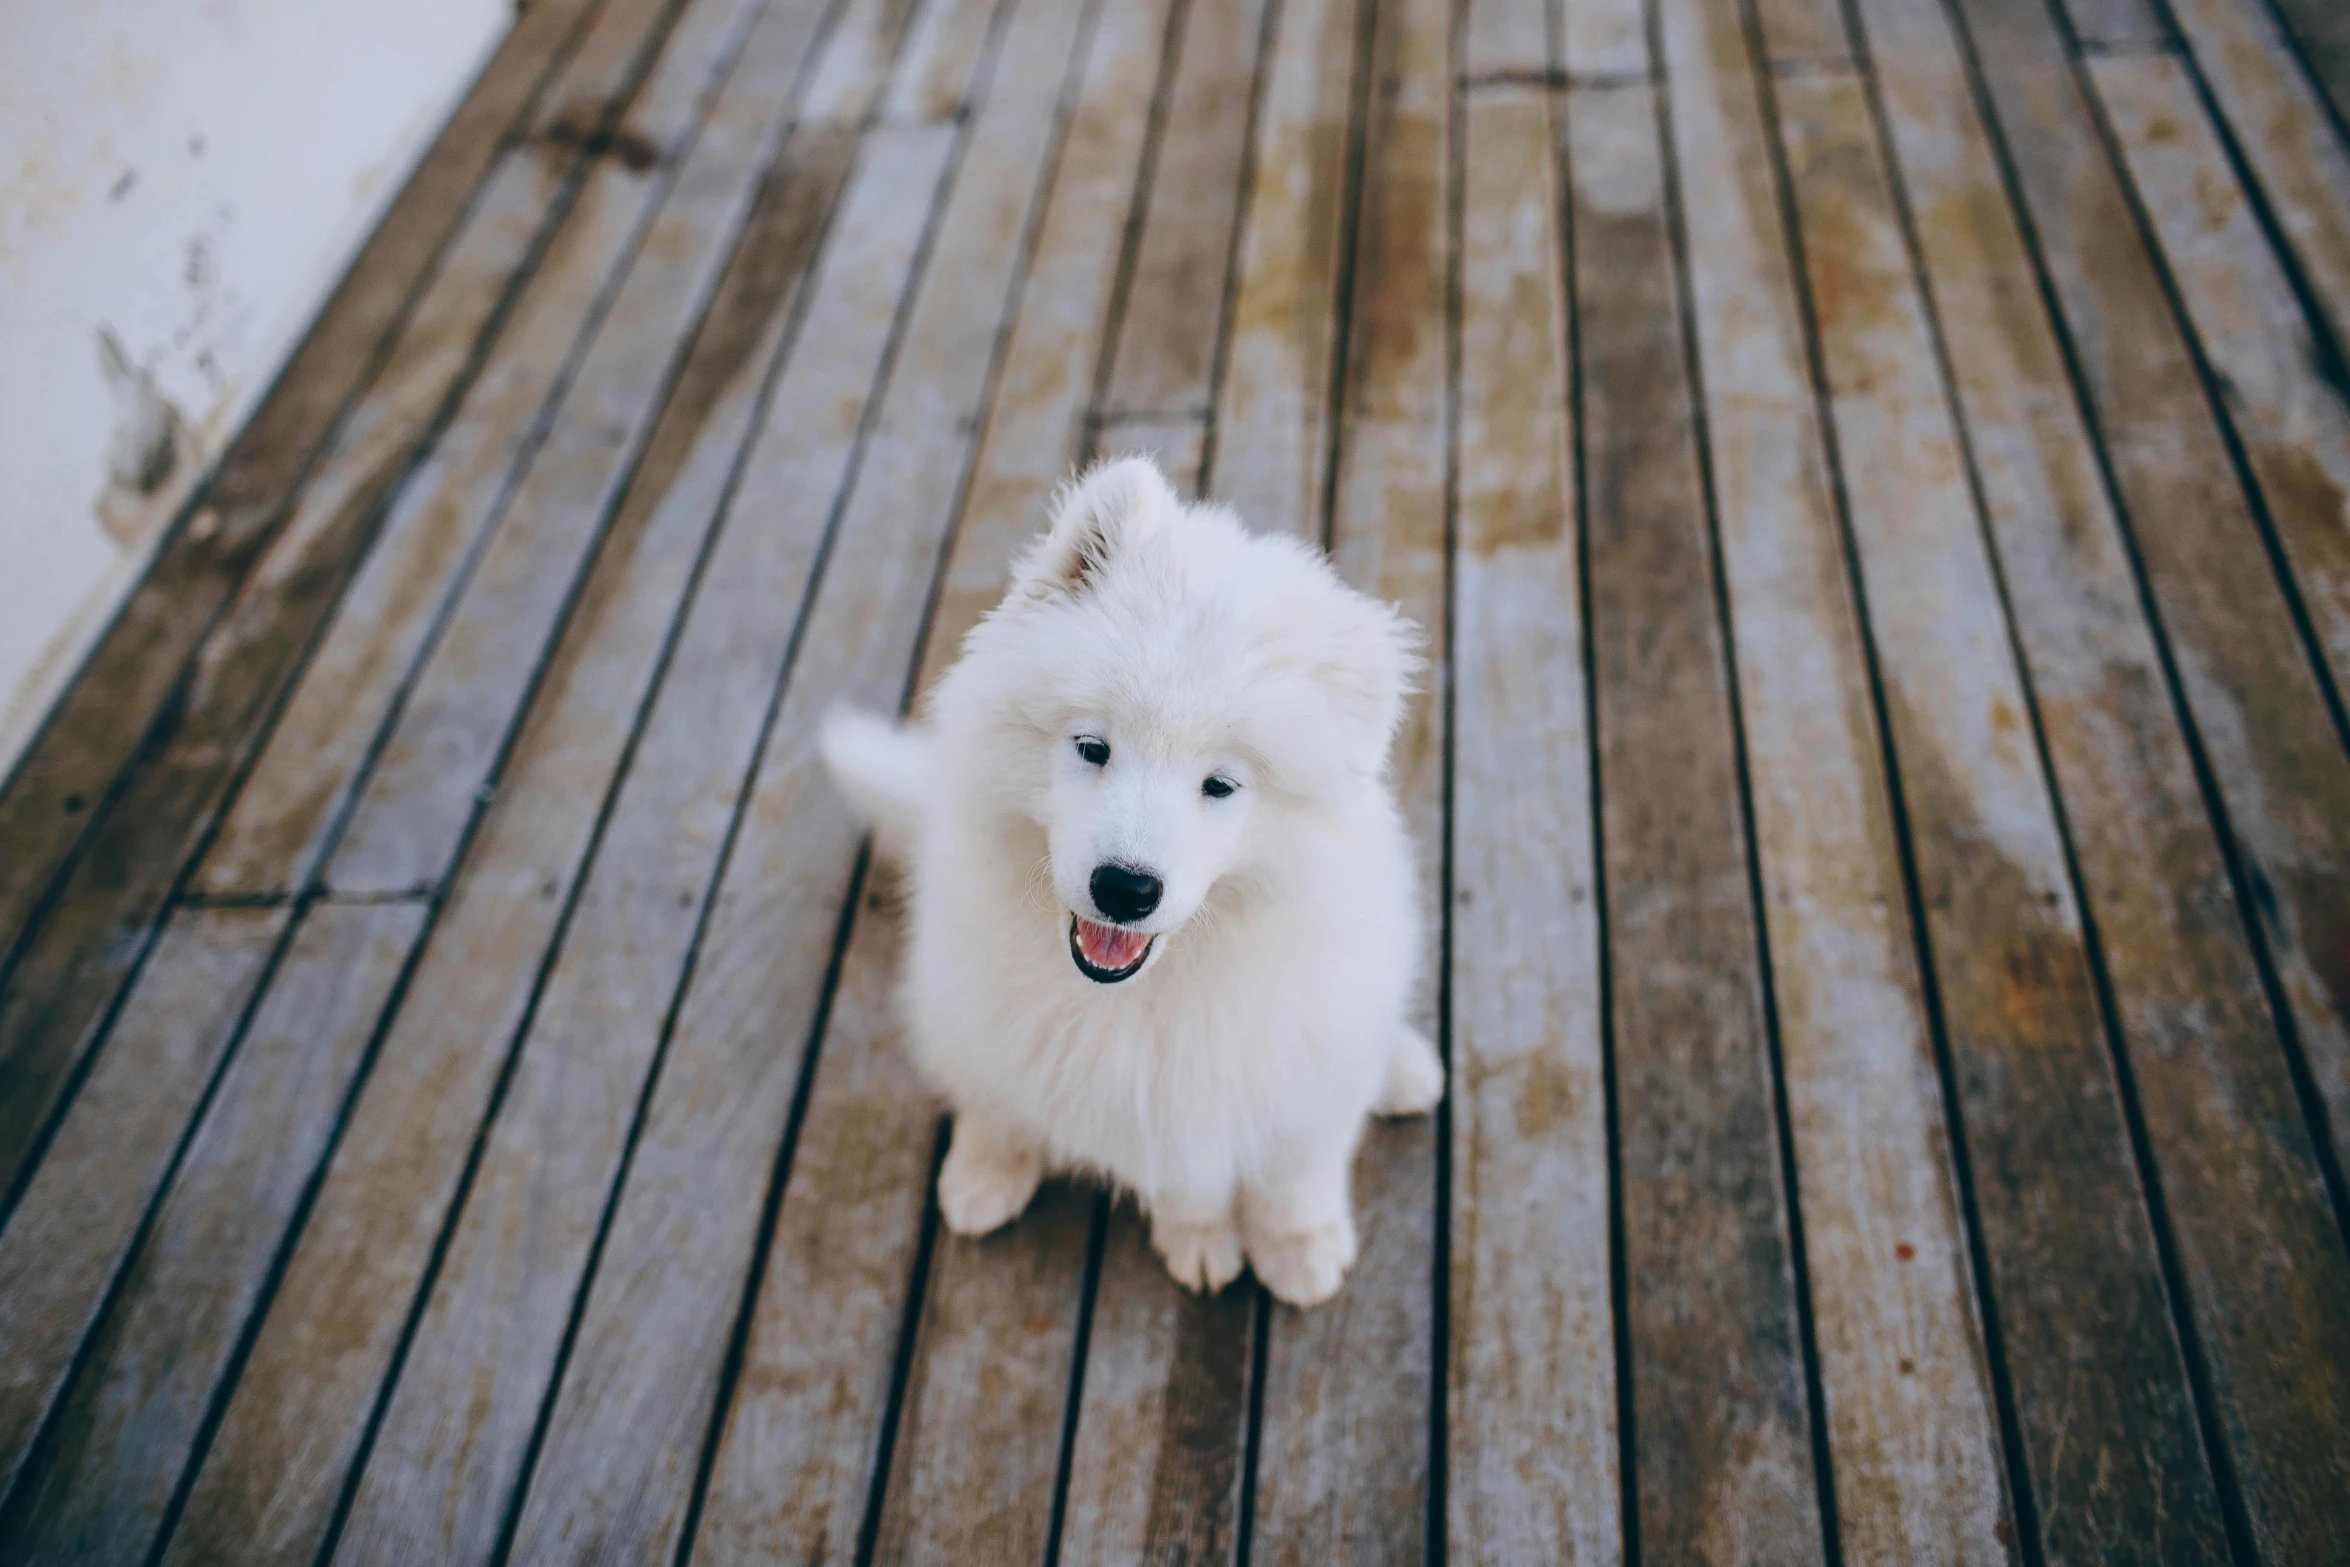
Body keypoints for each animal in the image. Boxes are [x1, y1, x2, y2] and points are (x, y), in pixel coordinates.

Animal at [827, 455, 1447, 1315]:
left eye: (1221, 785)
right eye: (1093, 747)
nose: (1124, 887)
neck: (1149, 990)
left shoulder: (1292, 1062)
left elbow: (1296, 1171)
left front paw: (1296, 1248)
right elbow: (1183, 1175)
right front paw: (1203, 1237)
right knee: (986, 1095)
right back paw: (983, 1175)